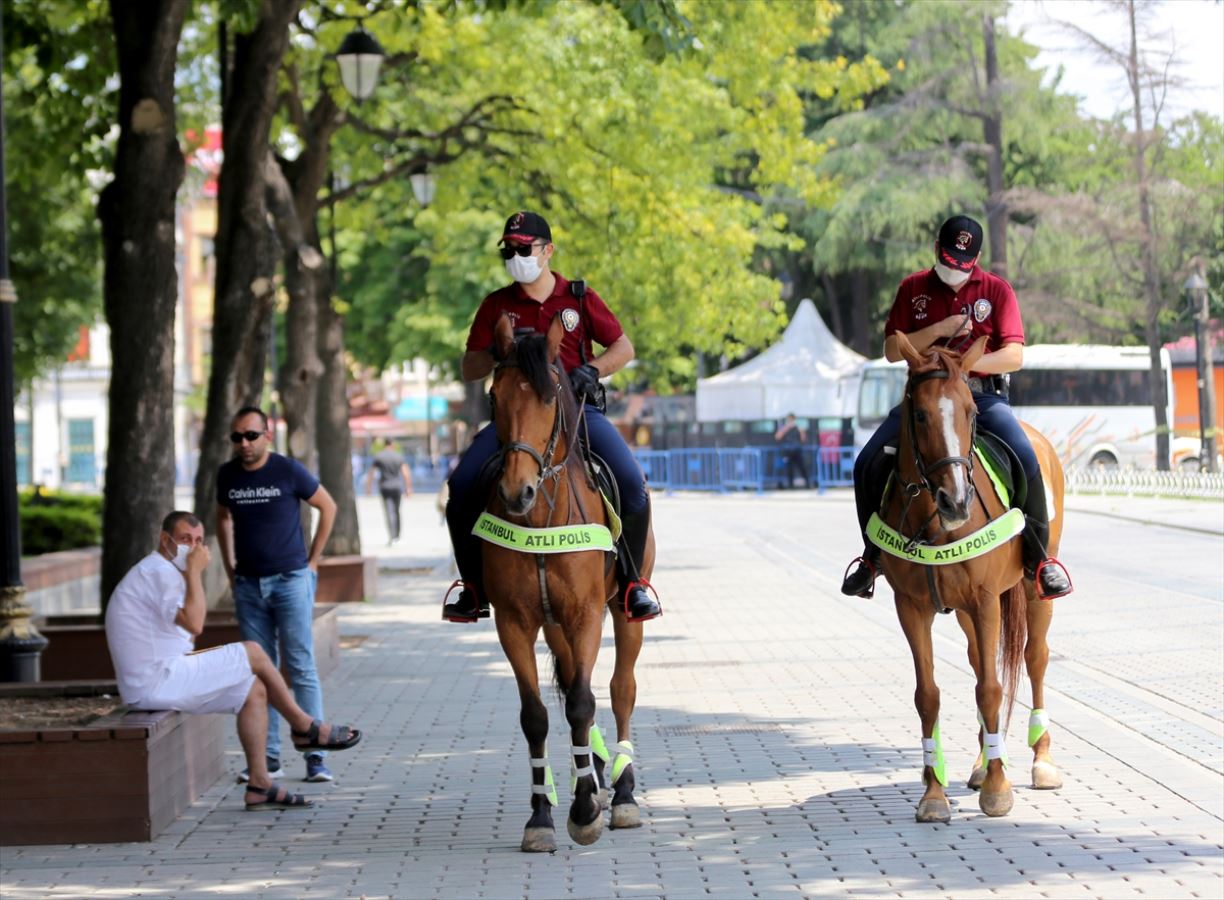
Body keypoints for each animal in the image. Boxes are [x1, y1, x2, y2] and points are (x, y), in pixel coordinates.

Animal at [482, 311, 651, 852]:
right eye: (494, 397)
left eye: (548, 396)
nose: (516, 491)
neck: (540, 517)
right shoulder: (514, 622)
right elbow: (536, 715)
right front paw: (541, 815)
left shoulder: (585, 614)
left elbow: (582, 703)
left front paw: (584, 811)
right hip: (553, 625)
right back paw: (592, 774)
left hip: (622, 610)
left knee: (620, 688)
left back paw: (621, 790)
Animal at [876, 333, 1067, 822]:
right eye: (919, 414)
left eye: (970, 412)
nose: (957, 501)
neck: (935, 524)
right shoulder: (912, 607)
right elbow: (929, 695)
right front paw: (933, 794)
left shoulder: (984, 599)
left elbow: (992, 688)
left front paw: (999, 790)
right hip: (965, 611)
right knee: (981, 661)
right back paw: (983, 761)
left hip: (1032, 590)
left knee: (1034, 658)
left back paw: (1041, 761)